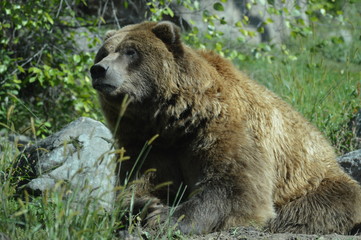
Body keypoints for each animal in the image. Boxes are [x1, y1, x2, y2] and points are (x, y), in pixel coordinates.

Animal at [89, 21, 360, 234]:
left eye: (130, 51)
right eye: (103, 52)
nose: (98, 69)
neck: (172, 120)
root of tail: (326, 146)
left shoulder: (224, 129)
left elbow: (234, 186)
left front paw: (165, 217)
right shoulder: (147, 143)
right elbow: (138, 182)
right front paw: (147, 206)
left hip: (312, 179)